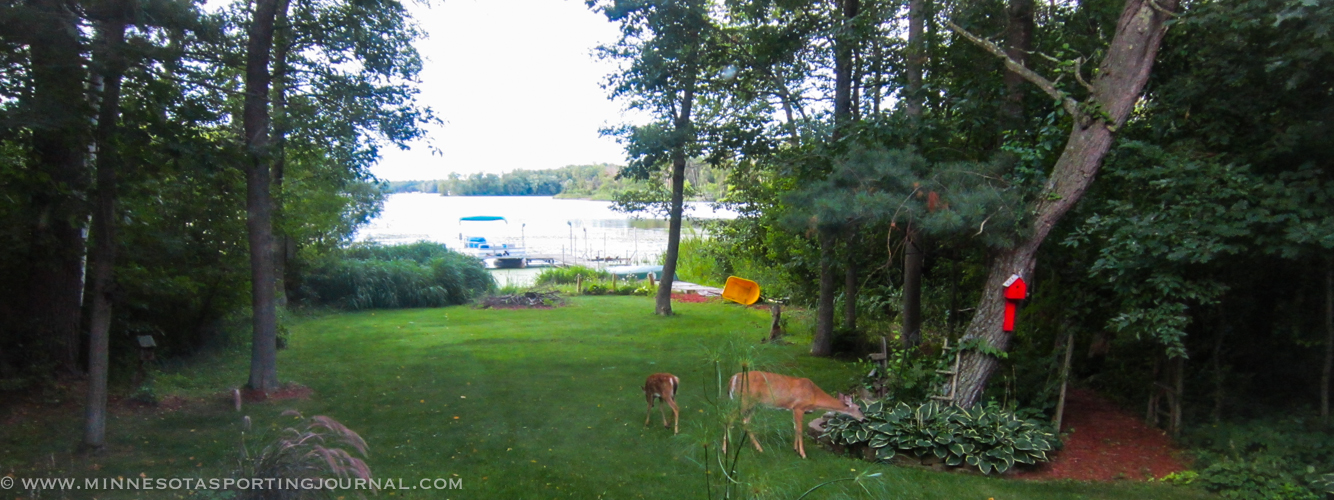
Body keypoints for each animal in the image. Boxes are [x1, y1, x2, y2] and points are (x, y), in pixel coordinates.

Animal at [725, 371, 865, 459]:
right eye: (859, 408)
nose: (864, 419)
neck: (814, 395)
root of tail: (733, 379)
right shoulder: (799, 407)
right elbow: (800, 430)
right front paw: (803, 454)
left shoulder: (794, 409)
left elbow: (795, 428)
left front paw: (795, 449)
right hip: (744, 401)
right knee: (729, 418)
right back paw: (725, 449)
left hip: (753, 404)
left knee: (745, 421)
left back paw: (759, 448)